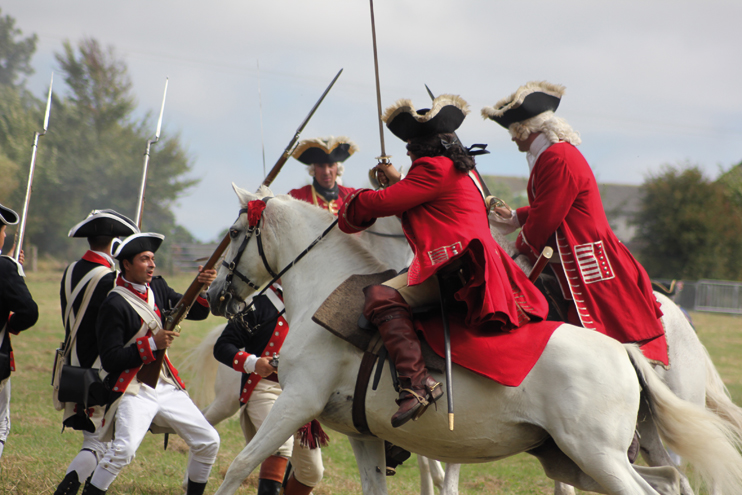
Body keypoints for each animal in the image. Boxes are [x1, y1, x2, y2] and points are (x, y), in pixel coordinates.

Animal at [206, 185, 742, 495]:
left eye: (233, 231)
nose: (213, 293)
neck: (325, 285)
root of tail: (623, 351)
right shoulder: (364, 436)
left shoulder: (297, 400)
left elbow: (240, 466)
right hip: (574, 459)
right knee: (669, 480)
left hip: (598, 455)